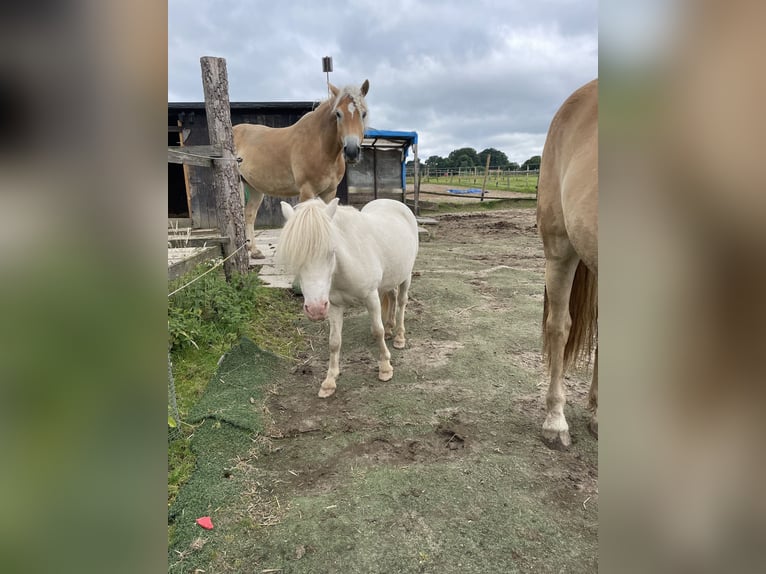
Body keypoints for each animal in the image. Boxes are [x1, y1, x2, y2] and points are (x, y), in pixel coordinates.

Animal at [236, 79, 370, 258]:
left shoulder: (329, 192)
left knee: (250, 214)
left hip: (255, 188)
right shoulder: (307, 191)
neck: (320, 146)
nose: (352, 151)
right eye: (338, 114)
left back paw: (255, 250)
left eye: (364, 113)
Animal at [276, 198, 420, 400]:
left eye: (331, 251)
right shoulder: (334, 306)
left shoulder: (371, 297)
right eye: (294, 256)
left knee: (400, 302)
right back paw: (390, 328)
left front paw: (385, 367)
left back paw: (399, 337)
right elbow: (334, 342)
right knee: (391, 297)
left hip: (406, 276)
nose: (315, 310)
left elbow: (377, 331)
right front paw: (329, 381)